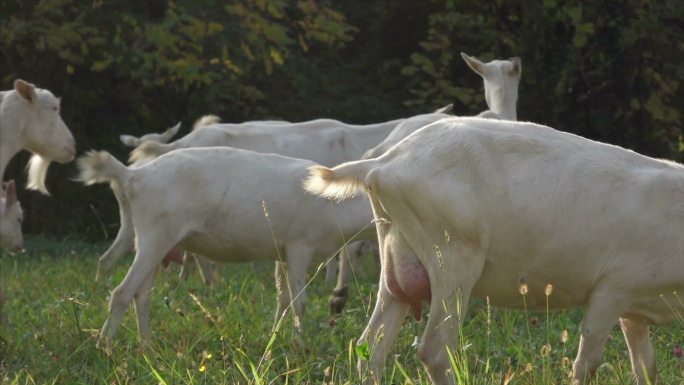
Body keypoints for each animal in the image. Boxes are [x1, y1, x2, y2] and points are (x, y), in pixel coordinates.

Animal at [78, 146, 376, 342]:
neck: (337, 207)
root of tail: (131, 176)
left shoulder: (282, 252)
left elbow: (282, 299)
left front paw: (274, 340)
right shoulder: (298, 247)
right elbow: (299, 302)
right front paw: (298, 346)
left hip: (150, 238)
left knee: (142, 294)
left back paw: (147, 347)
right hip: (155, 234)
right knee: (122, 292)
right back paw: (105, 346)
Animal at [304, 117, 684, 384]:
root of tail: (381, 164)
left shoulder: (635, 307)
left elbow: (647, 369)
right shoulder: (610, 290)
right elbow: (586, 364)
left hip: (398, 261)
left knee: (370, 347)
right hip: (452, 257)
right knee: (434, 350)